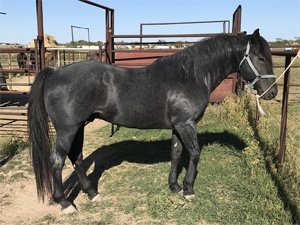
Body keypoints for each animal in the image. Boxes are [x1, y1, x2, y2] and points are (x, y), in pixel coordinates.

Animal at [27, 29, 276, 213]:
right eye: (261, 57)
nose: (272, 92)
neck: (190, 76)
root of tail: (55, 71)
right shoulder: (186, 124)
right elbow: (194, 154)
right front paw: (189, 190)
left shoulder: (178, 125)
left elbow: (176, 153)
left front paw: (174, 187)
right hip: (67, 130)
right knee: (57, 161)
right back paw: (65, 203)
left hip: (78, 128)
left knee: (77, 159)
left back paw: (92, 193)